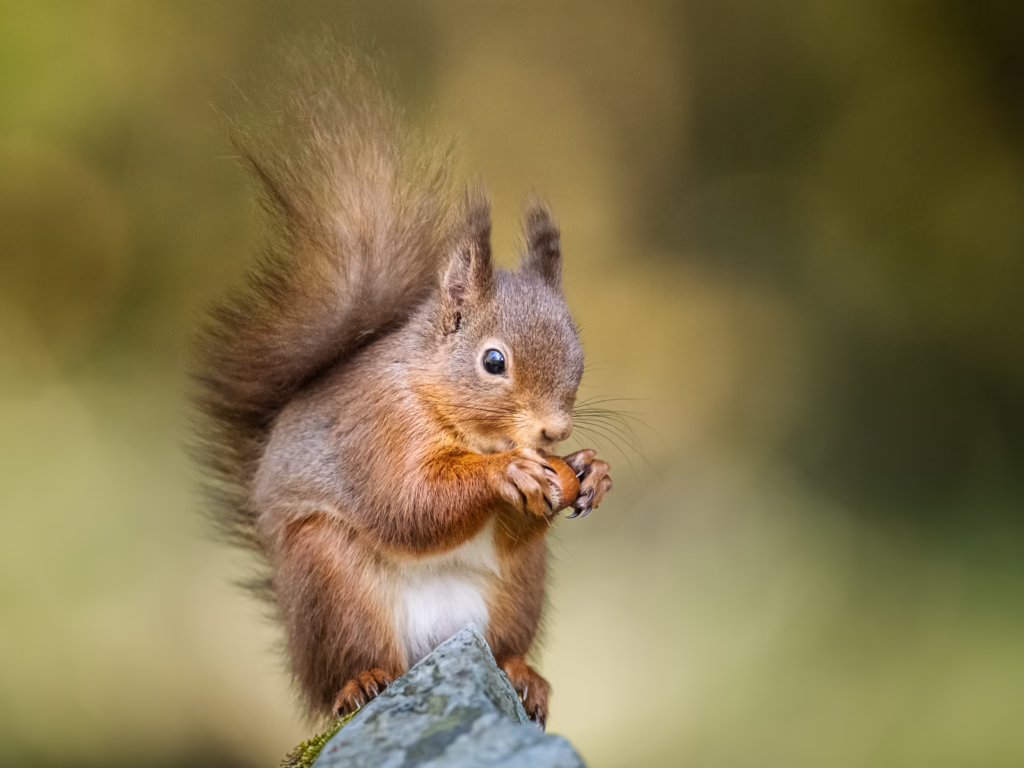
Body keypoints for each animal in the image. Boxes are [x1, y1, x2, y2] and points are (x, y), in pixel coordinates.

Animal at [194, 51, 613, 729]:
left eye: (579, 354)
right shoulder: (379, 426)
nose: (555, 431)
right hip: (331, 582)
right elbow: (408, 502)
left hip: (519, 589)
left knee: (506, 642)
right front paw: (506, 474)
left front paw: (590, 470)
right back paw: (361, 683)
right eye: (493, 361)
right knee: (350, 666)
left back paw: (523, 676)